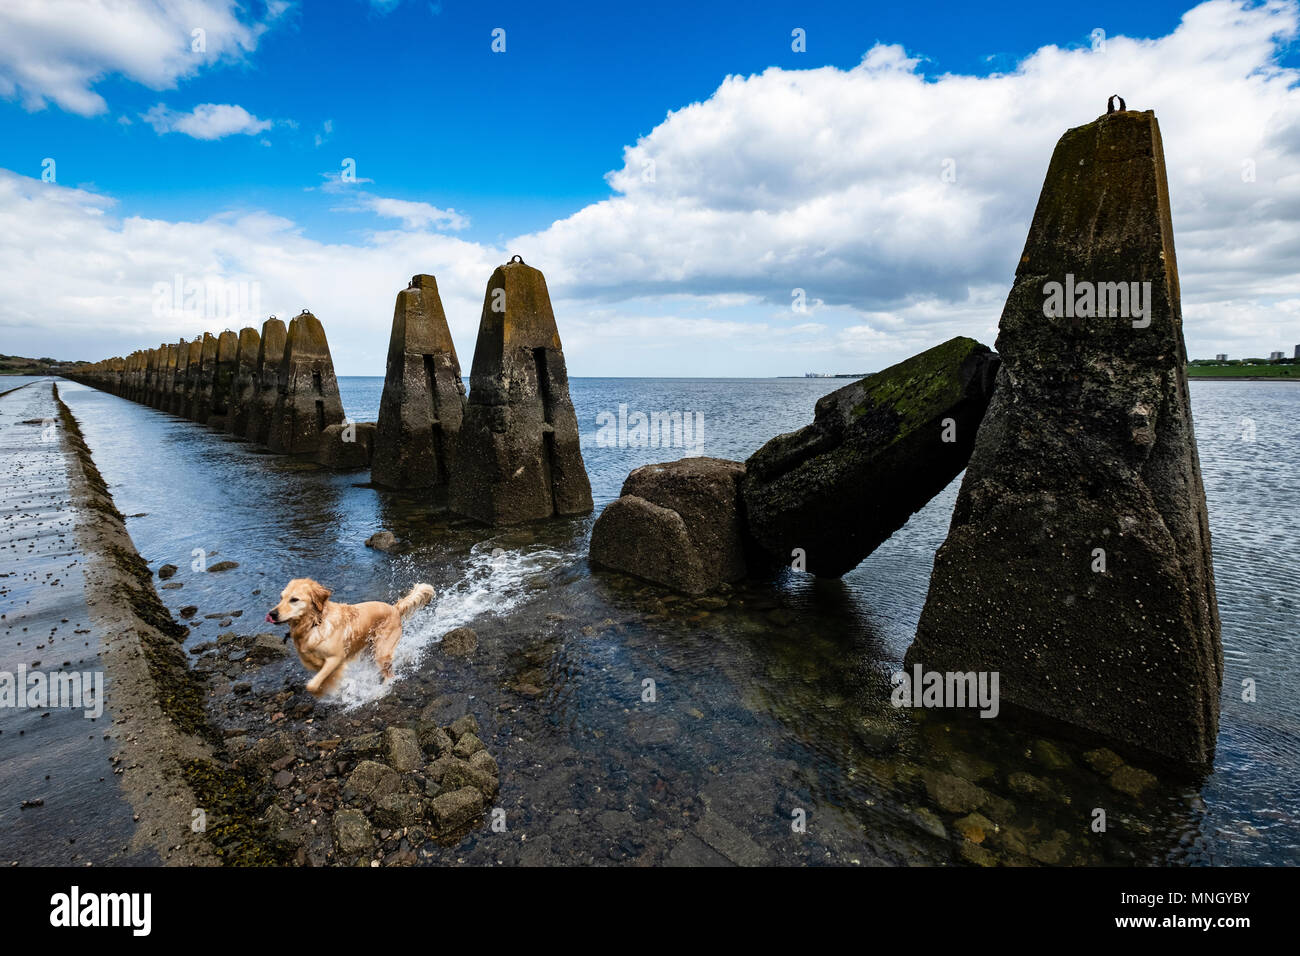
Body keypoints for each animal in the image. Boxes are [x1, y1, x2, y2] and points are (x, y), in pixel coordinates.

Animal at [265, 580, 436, 697]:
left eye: (294, 599)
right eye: (281, 598)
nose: (272, 614)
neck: (315, 623)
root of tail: (394, 608)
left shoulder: (336, 658)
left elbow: (312, 685)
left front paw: (324, 692)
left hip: (382, 651)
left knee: (389, 674)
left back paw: (382, 689)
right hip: (369, 650)